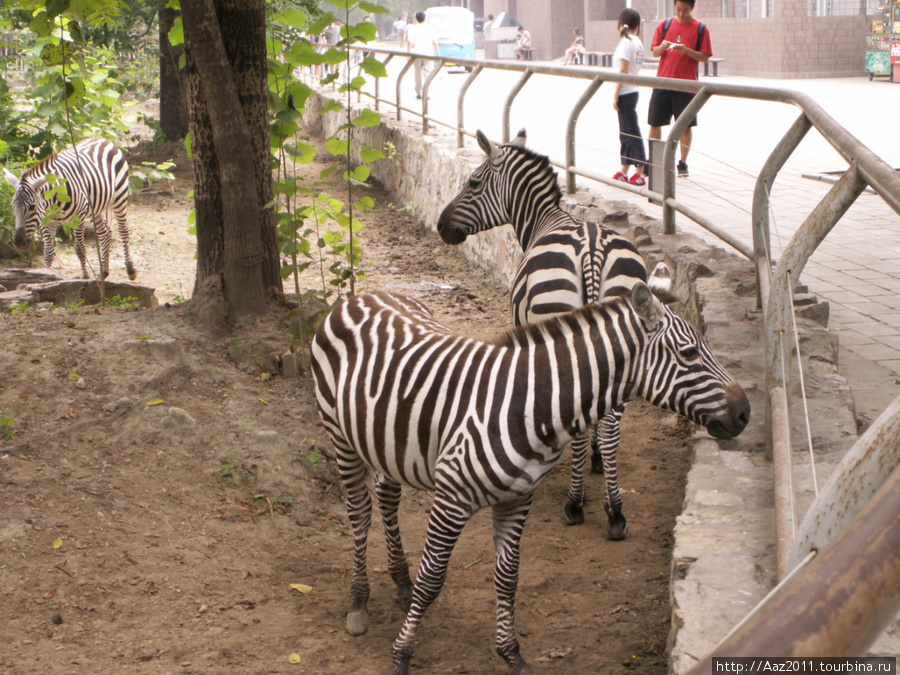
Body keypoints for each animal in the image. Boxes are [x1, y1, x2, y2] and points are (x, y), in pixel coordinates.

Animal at [3, 139, 137, 282]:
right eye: (13, 207)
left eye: (32, 207)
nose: (18, 243)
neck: (52, 203)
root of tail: (102, 139)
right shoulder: (46, 221)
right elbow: (48, 251)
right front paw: (47, 277)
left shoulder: (78, 218)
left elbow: (79, 249)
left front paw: (85, 278)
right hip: (95, 208)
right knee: (105, 233)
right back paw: (103, 273)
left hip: (119, 196)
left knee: (123, 230)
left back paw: (130, 269)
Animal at [312, 286, 748, 675]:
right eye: (689, 353)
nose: (745, 413)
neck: (531, 404)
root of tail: (363, 295)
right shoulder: (452, 497)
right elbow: (432, 579)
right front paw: (402, 655)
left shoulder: (518, 498)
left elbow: (508, 579)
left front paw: (512, 656)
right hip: (340, 435)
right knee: (360, 512)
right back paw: (358, 602)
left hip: (388, 441)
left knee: (386, 497)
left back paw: (400, 581)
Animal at [440, 127, 656, 540]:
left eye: (473, 182)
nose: (442, 226)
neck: (545, 220)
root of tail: (592, 248)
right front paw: (596, 462)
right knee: (612, 426)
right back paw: (615, 511)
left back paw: (575, 504)